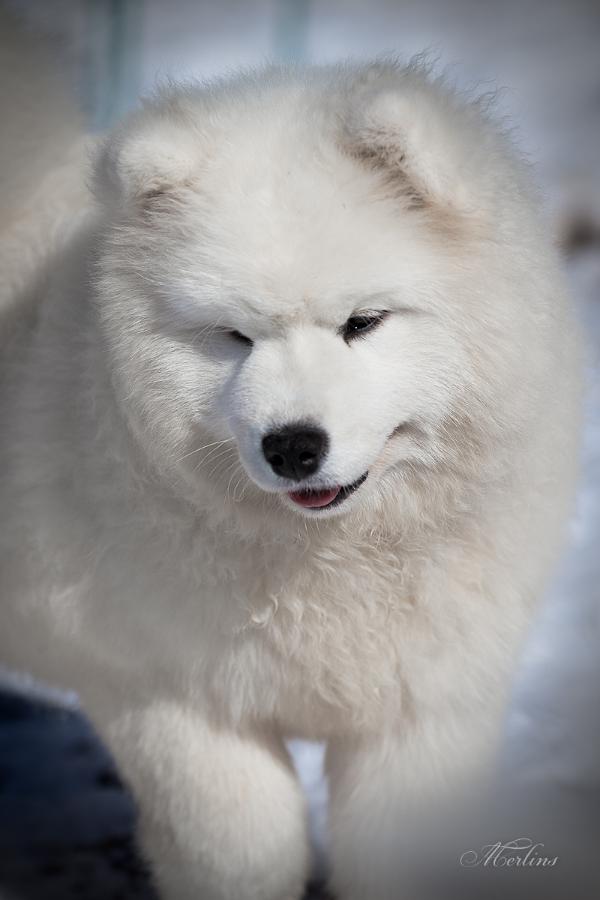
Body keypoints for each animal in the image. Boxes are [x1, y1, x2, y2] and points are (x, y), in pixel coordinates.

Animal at [0, 14, 580, 900]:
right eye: (234, 337)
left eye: (363, 322)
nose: (294, 446)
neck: (331, 566)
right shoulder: (170, 701)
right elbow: (242, 856)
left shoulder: (428, 706)